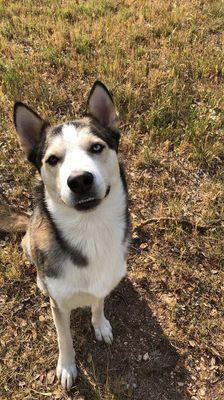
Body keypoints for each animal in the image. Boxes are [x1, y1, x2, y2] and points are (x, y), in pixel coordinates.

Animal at [13, 81, 130, 390]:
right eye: (53, 159)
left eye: (97, 147)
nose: (79, 180)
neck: (91, 230)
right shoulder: (59, 305)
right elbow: (63, 336)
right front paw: (67, 366)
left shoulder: (102, 284)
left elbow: (98, 303)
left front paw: (100, 324)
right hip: (27, 244)